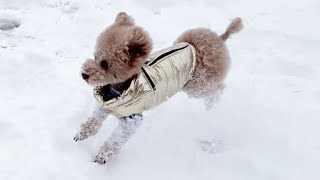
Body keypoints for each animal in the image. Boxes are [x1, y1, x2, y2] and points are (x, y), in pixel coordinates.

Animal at [74, 12, 242, 165]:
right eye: (95, 56)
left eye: (104, 64)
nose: (84, 74)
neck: (121, 88)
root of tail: (220, 38)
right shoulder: (106, 105)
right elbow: (94, 119)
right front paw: (83, 133)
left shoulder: (132, 120)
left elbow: (116, 139)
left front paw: (103, 156)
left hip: (197, 84)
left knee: (218, 88)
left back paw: (211, 103)